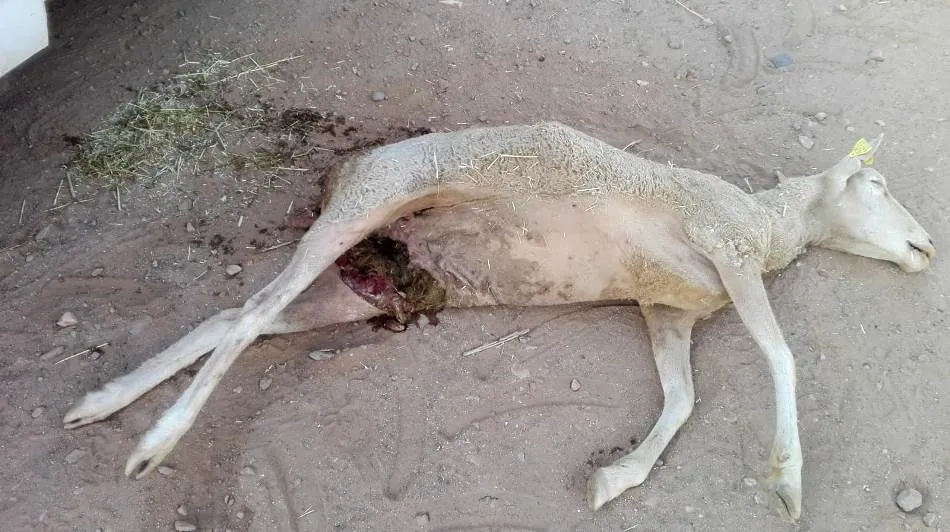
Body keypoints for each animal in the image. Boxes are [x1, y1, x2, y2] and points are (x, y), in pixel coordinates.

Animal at [63, 122, 935, 520]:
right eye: (878, 184)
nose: (927, 247)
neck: (771, 227)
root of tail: (346, 169)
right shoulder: (726, 249)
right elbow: (783, 355)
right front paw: (788, 481)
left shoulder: (669, 310)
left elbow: (682, 400)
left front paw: (617, 476)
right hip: (366, 203)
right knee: (246, 317)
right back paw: (152, 442)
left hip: (360, 288)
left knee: (231, 316)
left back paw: (102, 403)